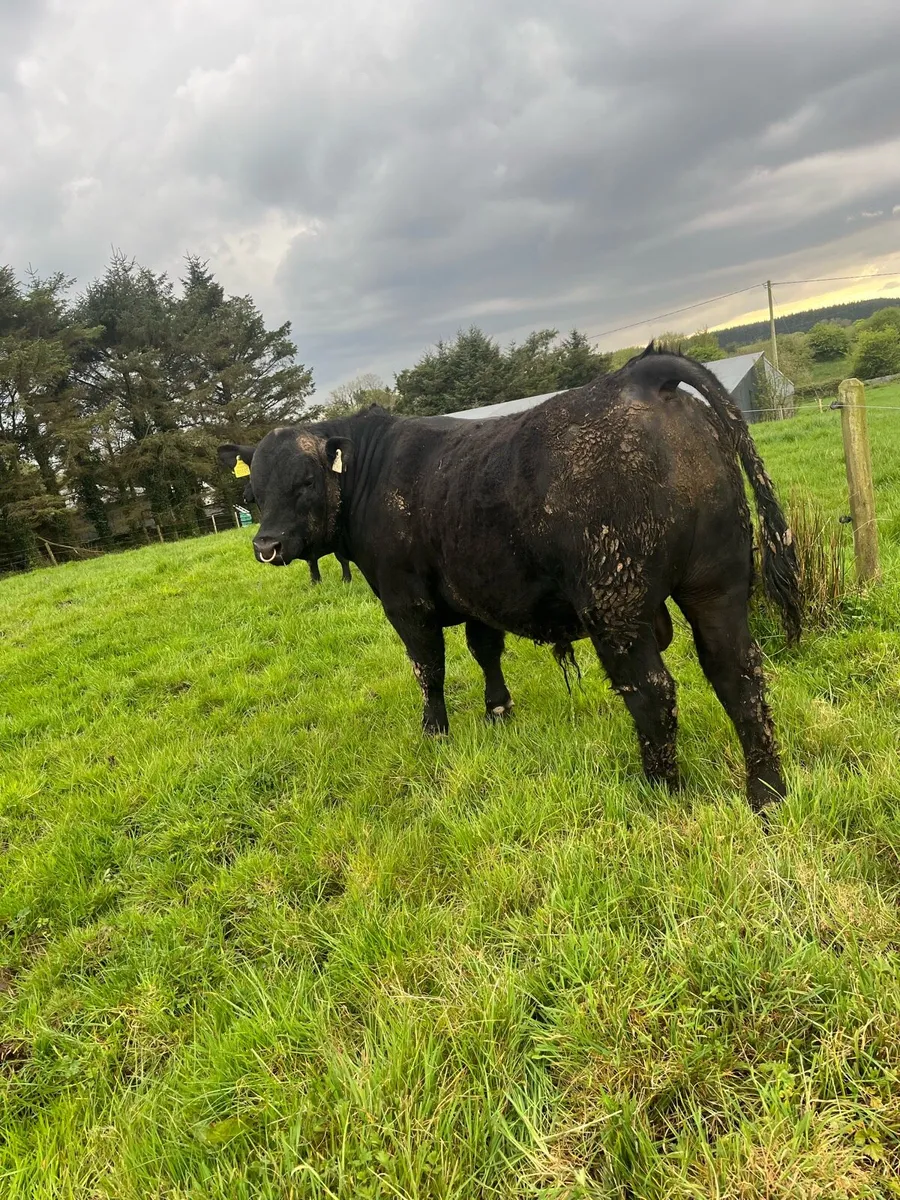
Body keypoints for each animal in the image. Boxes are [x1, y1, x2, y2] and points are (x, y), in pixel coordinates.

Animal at [218, 345, 802, 813]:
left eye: (305, 481)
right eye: (254, 491)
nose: (265, 546)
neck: (374, 474)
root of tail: (639, 376)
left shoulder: (406, 602)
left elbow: (428, 669)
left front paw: (435, 732)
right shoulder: (479, 592)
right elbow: (485, 650)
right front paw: (498, 709)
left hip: (616, 605)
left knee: (652, 691)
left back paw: (661, 790)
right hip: (718, 585)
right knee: (739, 676)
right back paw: (767, 793)